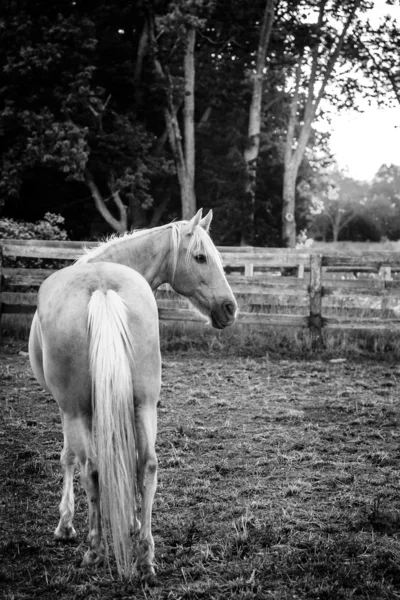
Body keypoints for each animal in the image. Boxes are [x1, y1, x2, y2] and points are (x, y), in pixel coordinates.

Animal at [29, 209, 239, 580]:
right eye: (200, 257)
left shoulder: (67, 409)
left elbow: (68, 457)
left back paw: (95, 552)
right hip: (143, 404)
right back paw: (145, 556)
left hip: (75, 410)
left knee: (92, 469)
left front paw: (65, 525)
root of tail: (102, 286)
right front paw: (131, 520)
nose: (230, 308)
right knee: (147, 465)